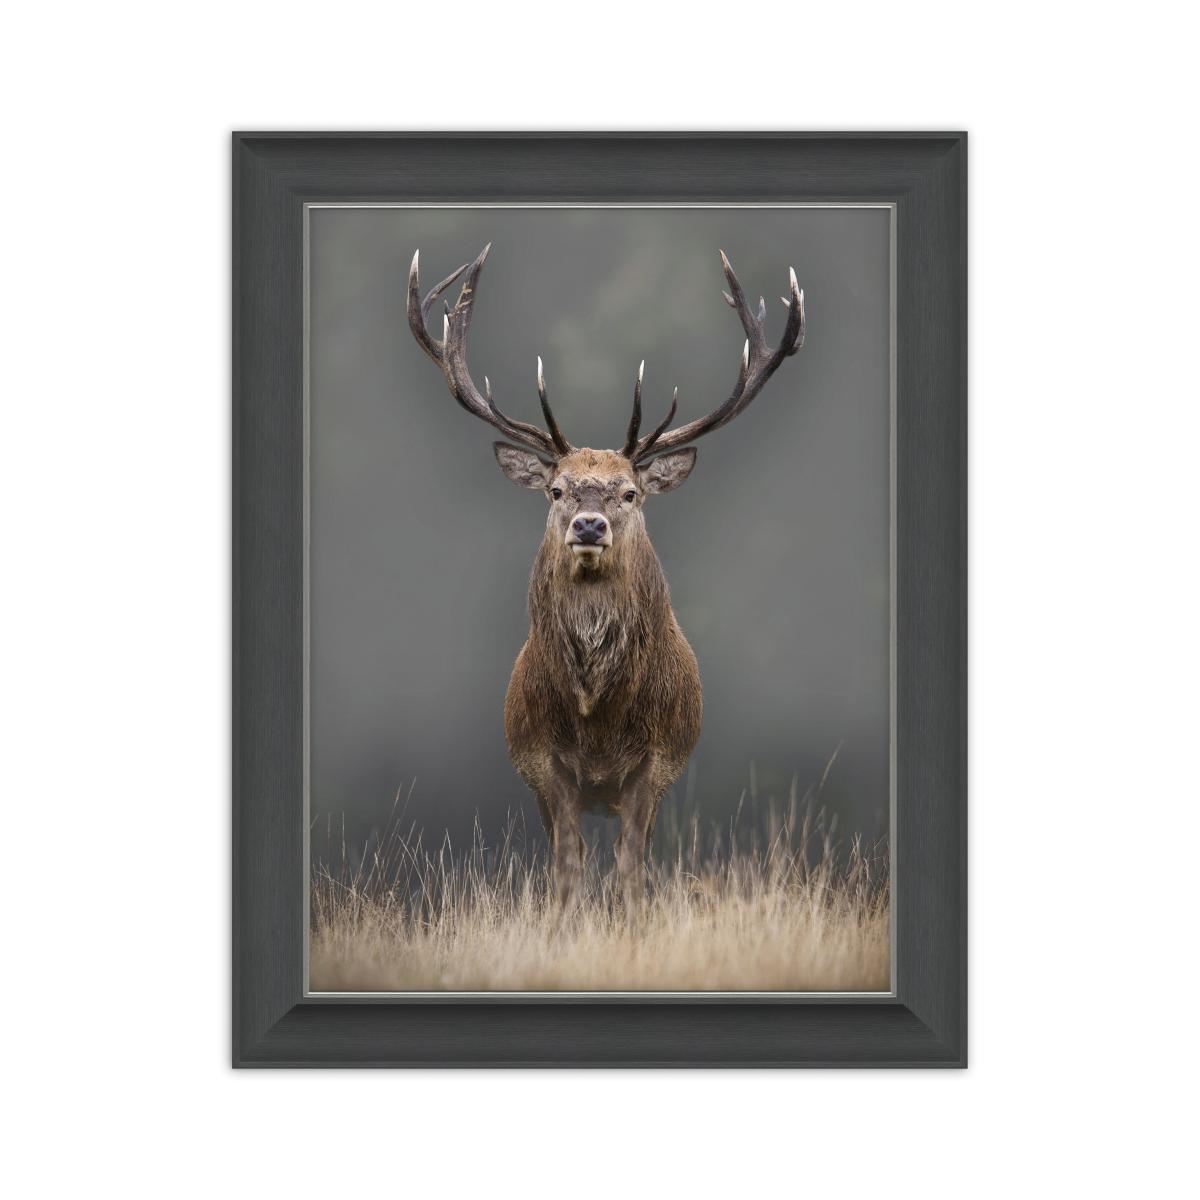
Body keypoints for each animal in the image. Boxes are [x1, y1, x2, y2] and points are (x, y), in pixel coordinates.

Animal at [406, 243, 806, 912]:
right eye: (556, 489)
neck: (597, 720)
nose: (589, 525)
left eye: (630, 492)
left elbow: (631, 871)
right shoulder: (543, 762)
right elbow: (568, 870)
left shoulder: (657, 762)